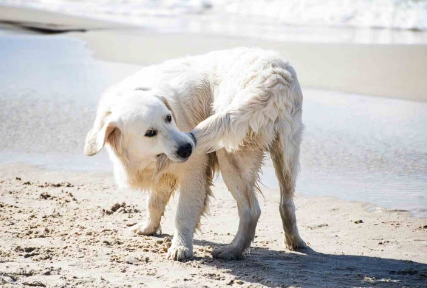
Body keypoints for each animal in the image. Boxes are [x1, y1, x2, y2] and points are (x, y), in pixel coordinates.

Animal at [85, 47, 308, 260]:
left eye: (168, 118)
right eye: (150, 133)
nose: (187, 147)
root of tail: (274, 76)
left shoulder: (193, 171)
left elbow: (183, 213)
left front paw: (180, 247)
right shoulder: (163, 173)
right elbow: (154, 202)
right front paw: (148, 227)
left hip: (230, 155)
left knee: (251, 210)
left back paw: (232, 251)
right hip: (286, 154)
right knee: (287, 202)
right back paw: (294, 241)